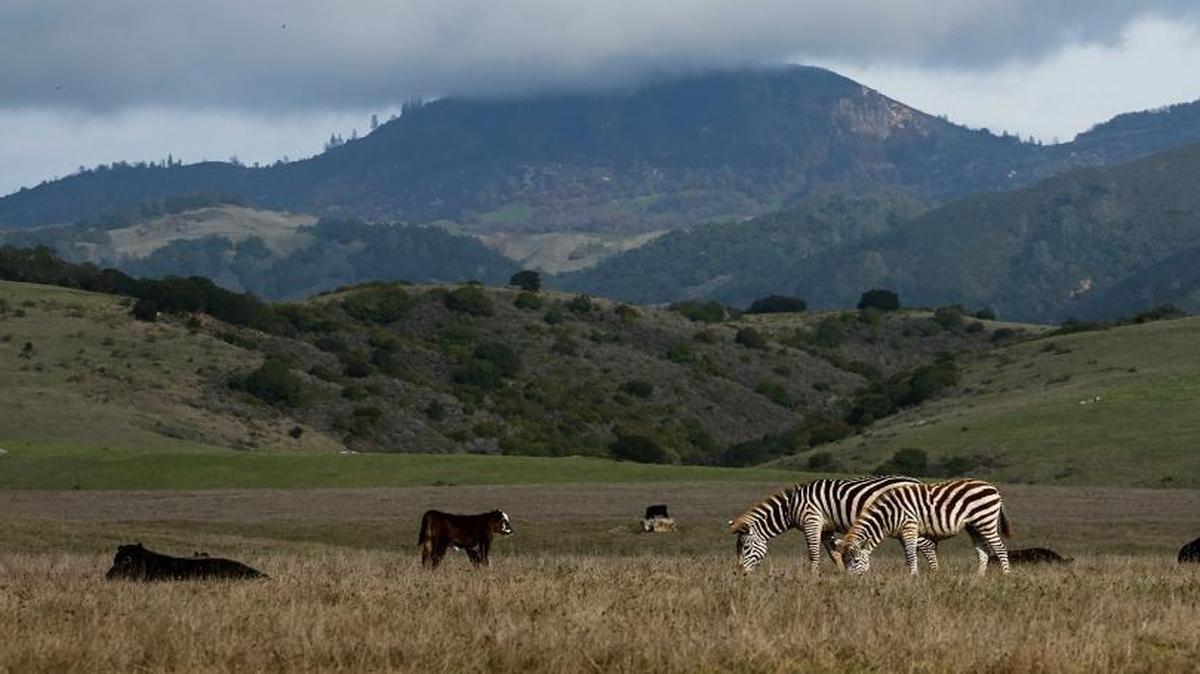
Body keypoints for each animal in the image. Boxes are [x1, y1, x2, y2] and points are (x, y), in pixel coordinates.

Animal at [728, 476, 941, 573]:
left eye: (745, 548)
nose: (740, 573)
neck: (789, 507)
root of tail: (916, 481)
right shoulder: (826, 528)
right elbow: (833, 553)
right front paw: (842, 573)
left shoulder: (812, 521)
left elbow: (813, 553)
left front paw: (813, 577)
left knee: (927, 546)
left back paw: (933, 575)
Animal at [833, 478, 1013, 576]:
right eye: (844, 560)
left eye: (856, 560)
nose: (850, 582)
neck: (887, 517)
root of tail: (993, 488)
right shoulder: (902, 533)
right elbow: (908, 554)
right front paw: (909, 574)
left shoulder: (909, 527)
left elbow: (911, 553)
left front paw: (914, 575)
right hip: (974, 525)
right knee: (984, 549)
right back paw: (979, 576)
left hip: (986, 520)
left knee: (1000, 548)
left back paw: (1006, 574)